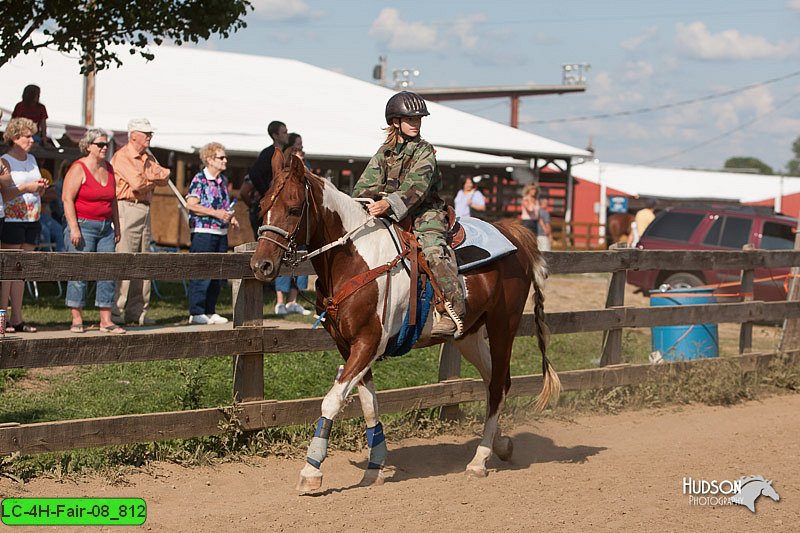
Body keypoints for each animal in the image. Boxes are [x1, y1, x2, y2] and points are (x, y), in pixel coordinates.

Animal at [247, 152, 560, 492]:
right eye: (262, 206)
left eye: (293, 208)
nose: (261, 265)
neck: (355, 258)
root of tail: (513, 234)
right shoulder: (349, 346)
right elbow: (368, 403)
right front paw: (375, 466)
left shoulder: (368, 341)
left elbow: (332, 401)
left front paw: (311, 470)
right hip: (470, 335)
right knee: (495, 382)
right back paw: (500, 445)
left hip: (504, 325)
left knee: (498, 384)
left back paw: (479, 461)